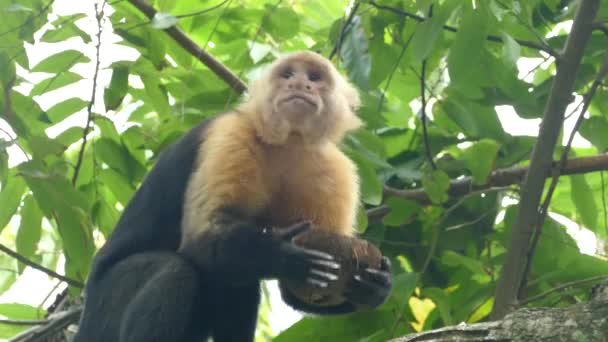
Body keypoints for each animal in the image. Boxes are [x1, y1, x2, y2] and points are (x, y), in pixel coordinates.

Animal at [73, 50, 392, 342]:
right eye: (288, 75)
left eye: (314, 78)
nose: (299, 84)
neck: (289, 141)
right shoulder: (230, 134)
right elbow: (202, 239)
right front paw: (281, 251)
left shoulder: (335, 170)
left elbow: (292, 291)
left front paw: (375, 286)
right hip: (102, 316)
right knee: (175, 270)